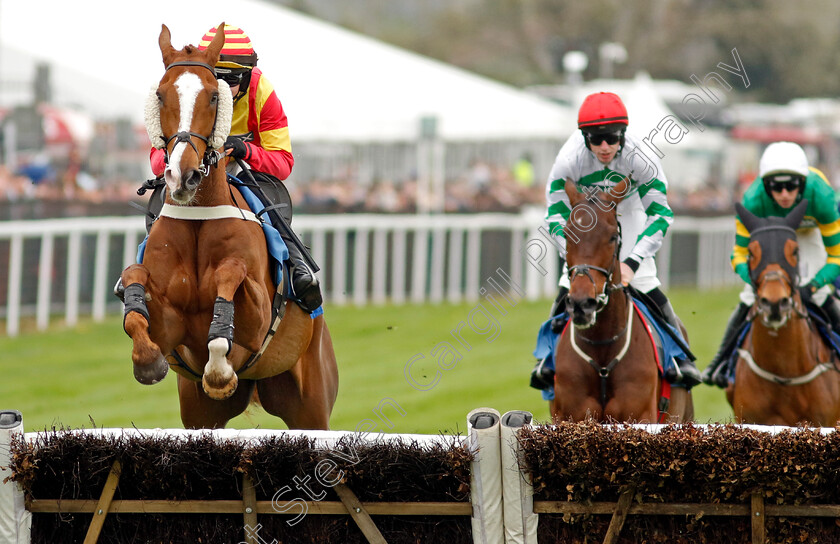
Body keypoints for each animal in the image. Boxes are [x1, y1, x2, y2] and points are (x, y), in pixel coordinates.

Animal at [121, 24, 338, 430]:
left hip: (311, 403)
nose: (184, 175)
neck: (199, 219)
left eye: (212, 95)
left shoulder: (257, 320)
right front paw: (146, 360)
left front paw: (219, 364)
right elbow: (134, 281)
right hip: (201, 412)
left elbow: (231, 274)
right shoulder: (169, 328)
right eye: (160, 94)